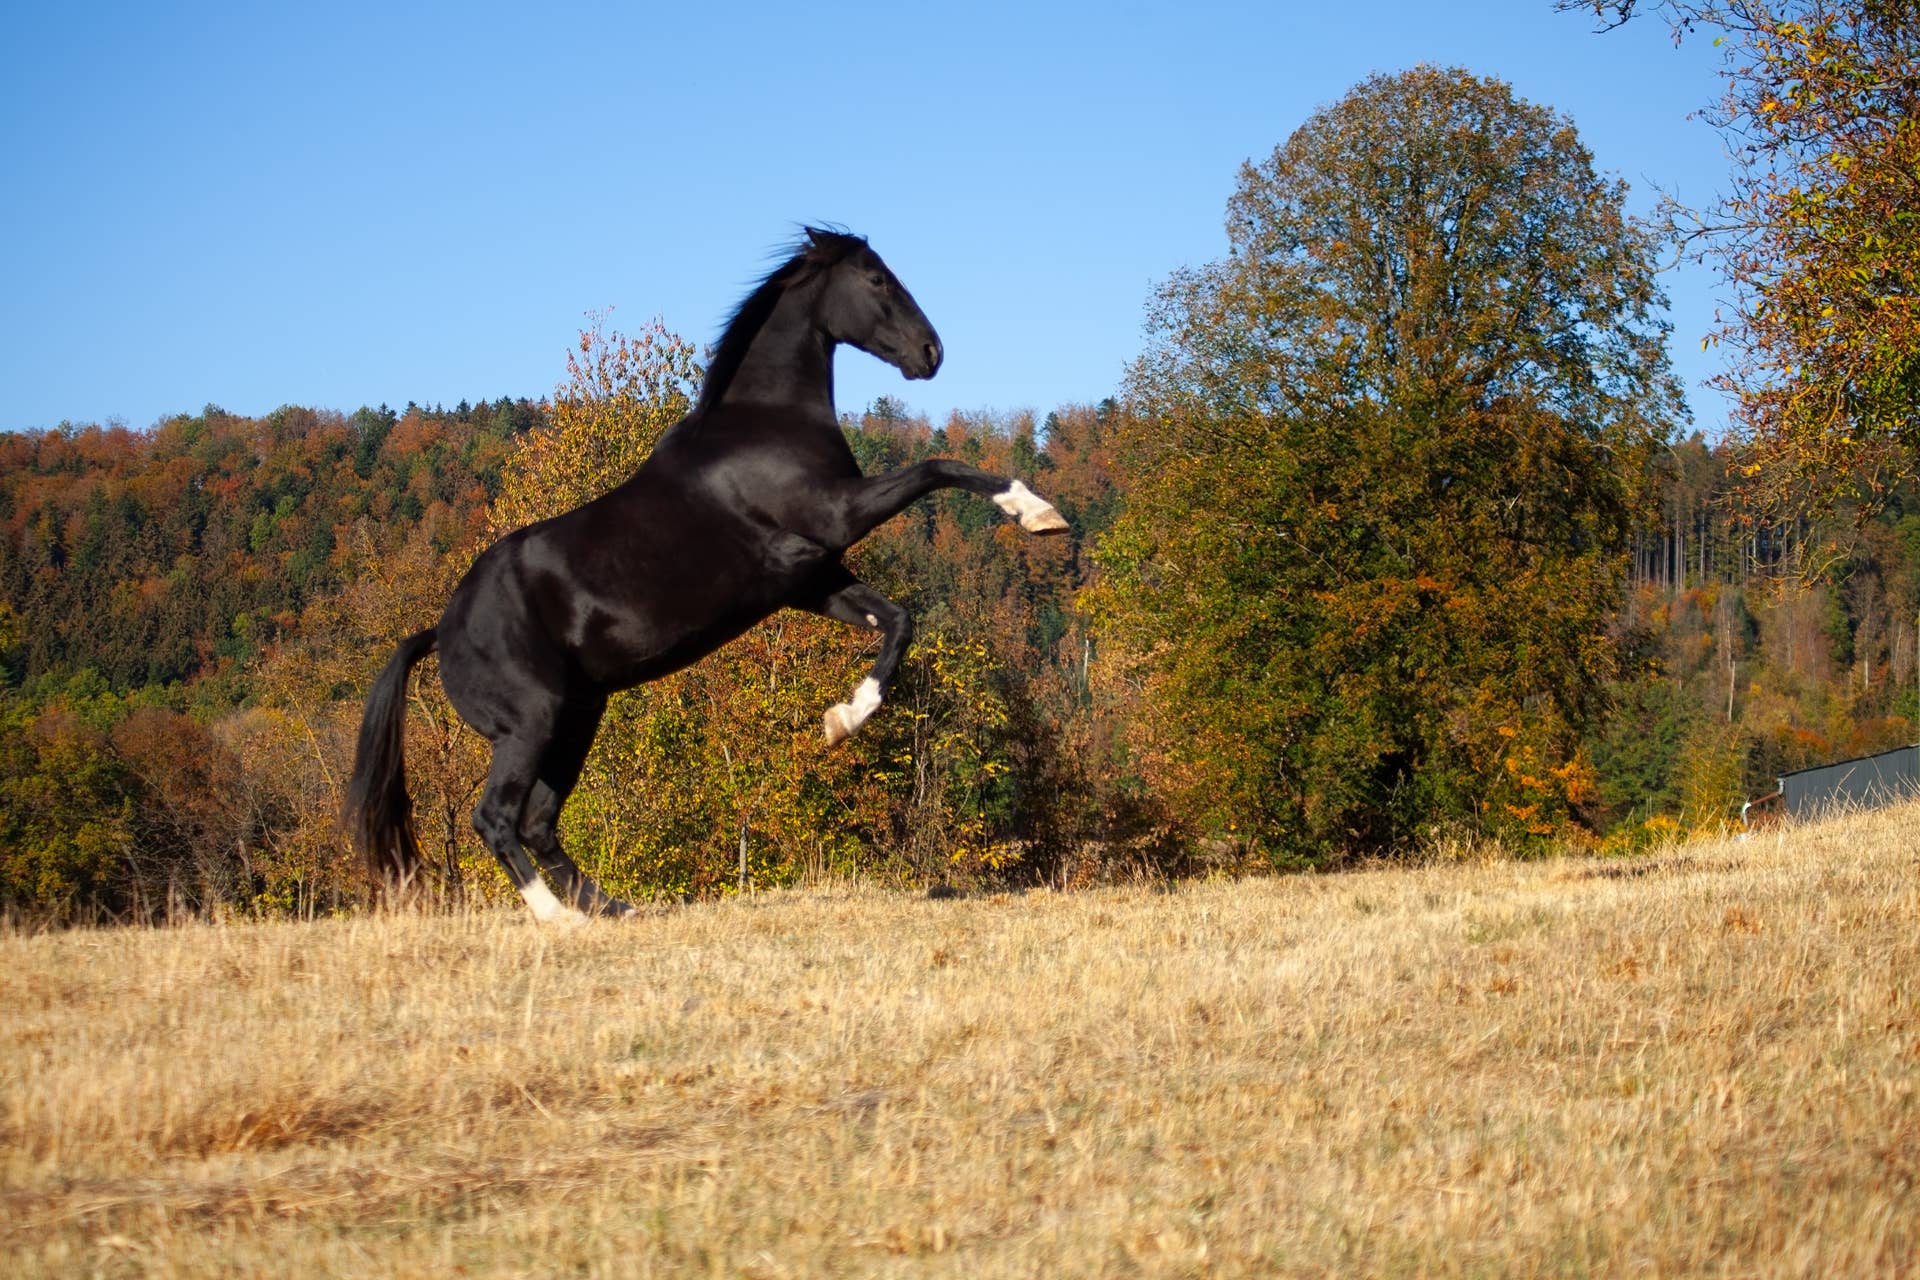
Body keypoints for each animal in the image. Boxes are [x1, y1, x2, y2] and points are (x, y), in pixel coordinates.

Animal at [342, 228, 1069, 921]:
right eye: (876, 279)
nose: (931, 352)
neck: (764, 424)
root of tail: (440, 631)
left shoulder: (808, 577)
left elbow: (898, 622)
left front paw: (840, 721)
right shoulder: (835, 519)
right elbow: (937, 468)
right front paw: (1038, 513)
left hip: (575, 720)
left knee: (540, 823)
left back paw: (613, 908)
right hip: (530, 724)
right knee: (495, 819)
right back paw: (560, 920)